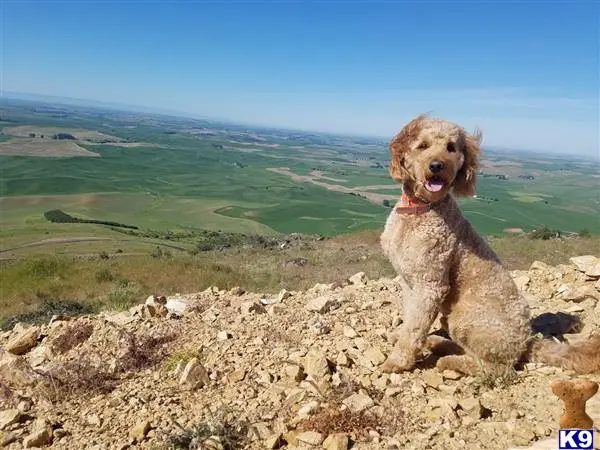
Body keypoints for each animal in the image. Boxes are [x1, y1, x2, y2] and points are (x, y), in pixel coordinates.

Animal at [380, 113, 600, 376]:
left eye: (451, 148)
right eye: (422, 145)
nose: (437, 166)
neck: (420, 209)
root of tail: (527, 339)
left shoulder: (429, 285)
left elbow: (414, 329)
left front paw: (397, 362)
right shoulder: (409, 281)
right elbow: (409, 320)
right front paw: (400, 338)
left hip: (466, 316)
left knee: (496, 367)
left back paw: (449, 360)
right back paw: (438, 343)